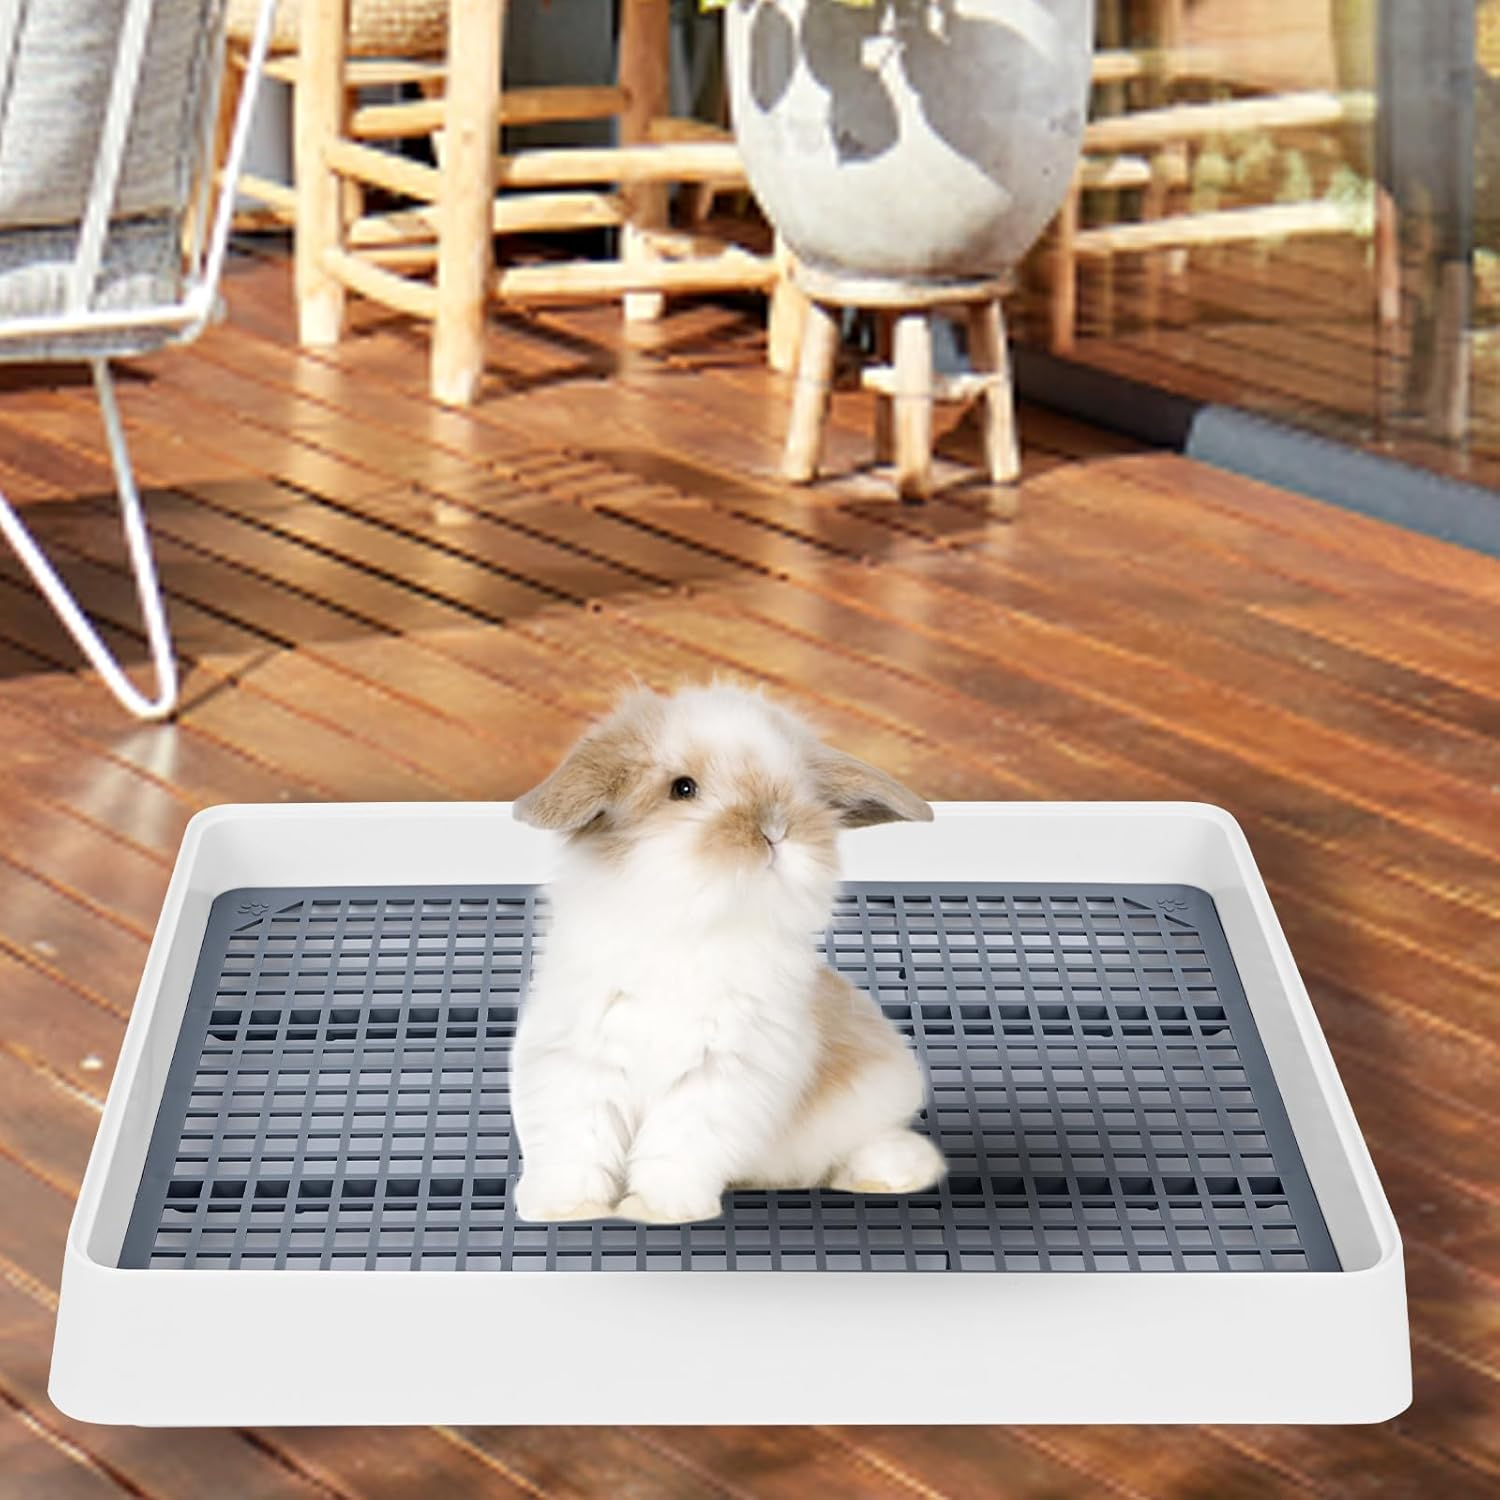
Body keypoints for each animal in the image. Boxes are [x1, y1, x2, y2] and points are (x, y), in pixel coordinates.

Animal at [508, 681, 946, 1225]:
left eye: (801, 791)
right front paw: (566, 1209)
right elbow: (577, 1141)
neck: (695, 926)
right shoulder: (578, 1060)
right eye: (682, 788)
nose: (775, 828)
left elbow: (677, 1146)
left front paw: (657, 1210)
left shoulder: (719, 1077)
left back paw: (885, 1176)